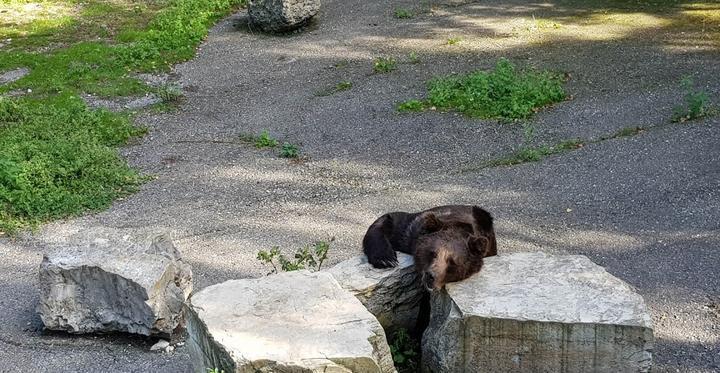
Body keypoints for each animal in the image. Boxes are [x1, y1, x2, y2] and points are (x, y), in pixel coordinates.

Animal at [366, 205, 496, 290]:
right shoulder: (409, 232)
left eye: (452, 262)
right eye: (432, 253)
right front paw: (386, 259)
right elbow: (388, 220)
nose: (431, 276)